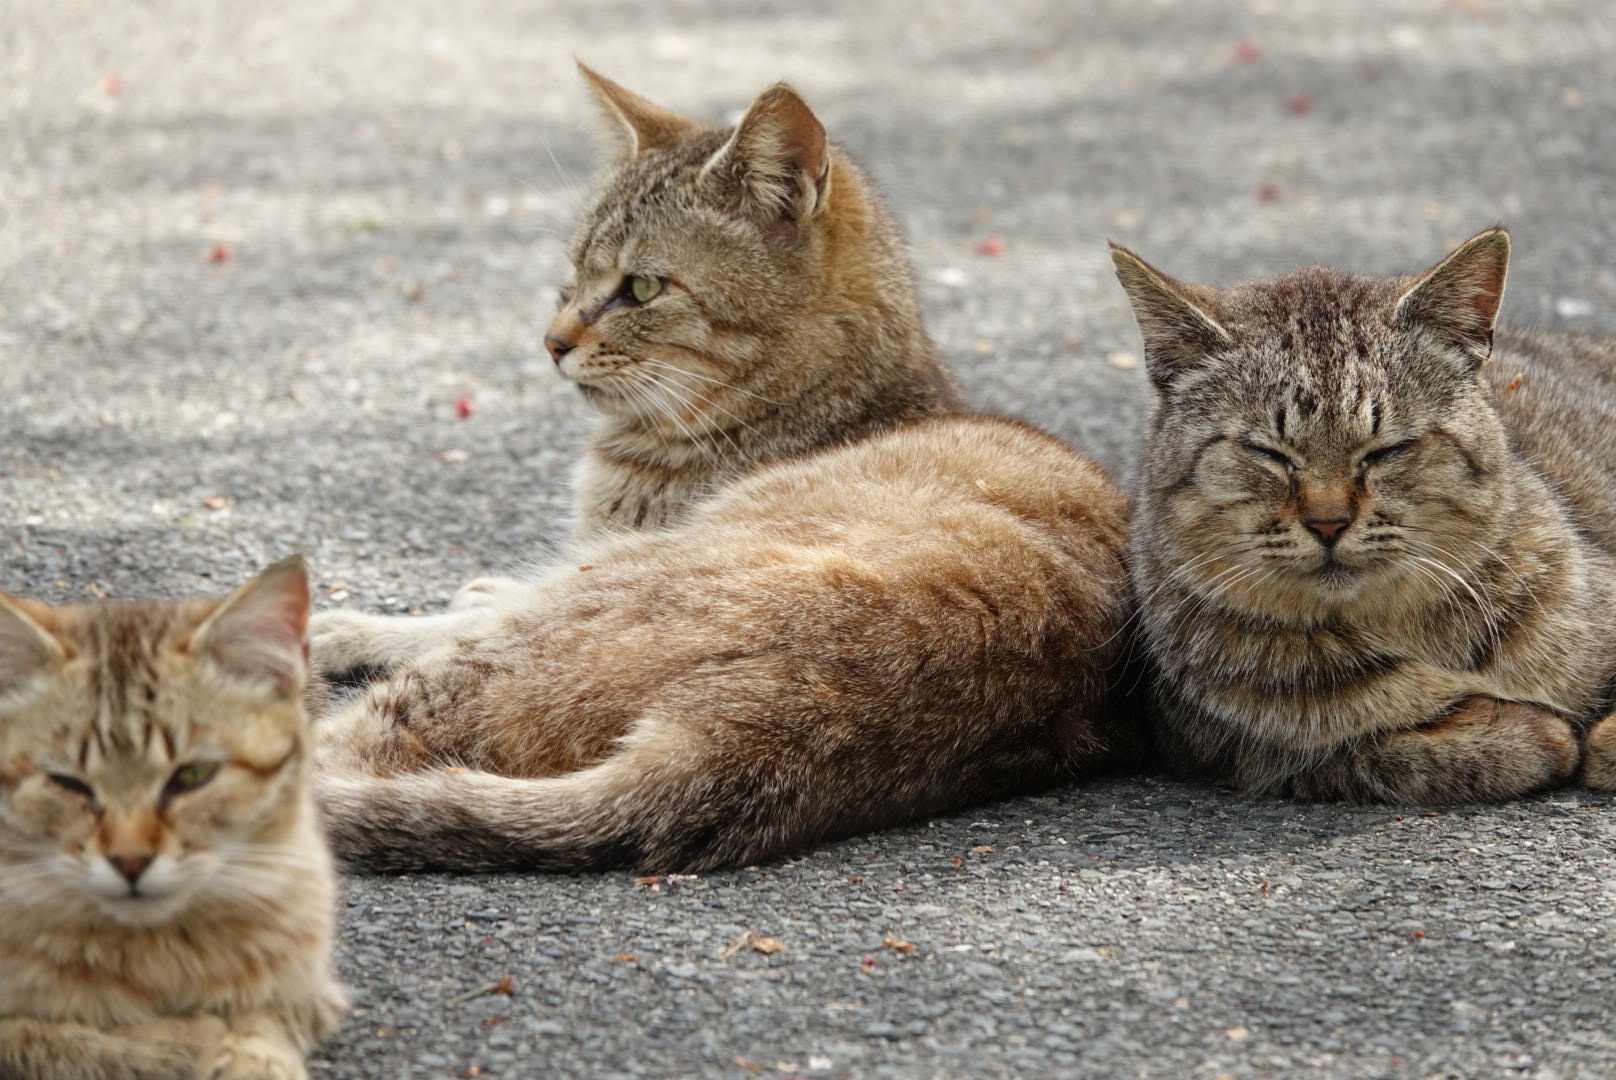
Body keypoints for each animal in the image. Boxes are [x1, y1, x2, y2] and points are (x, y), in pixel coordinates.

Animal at [0, 557, 346, 1080]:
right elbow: (72, 1042)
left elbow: (265, 1022)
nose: (130, 861)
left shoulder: (306, 987)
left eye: (192, 776)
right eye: (68, 783)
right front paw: (189, 1039)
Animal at [302, 67, 1136, 873]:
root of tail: (753, 738)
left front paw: (365, 624)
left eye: (640, 288)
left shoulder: (594, 562)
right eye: (572, 273)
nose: (551, 341)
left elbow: (461, 615)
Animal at [1114, 225, 1616, 802]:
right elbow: (1405, 750)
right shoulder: (1242, 751)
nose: (1328, 523)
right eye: (1269, 454)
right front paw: (1530, 731)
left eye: (1385, 451)